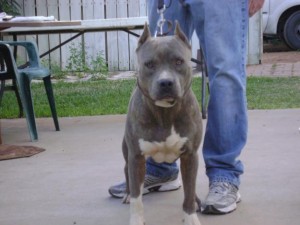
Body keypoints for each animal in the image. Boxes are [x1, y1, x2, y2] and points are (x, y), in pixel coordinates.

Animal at [122, 23, 204, 225]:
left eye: (179, 61)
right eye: (149, 64)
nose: (166, 82)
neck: (165, 112)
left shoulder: (190, 156)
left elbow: (189, 191)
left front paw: (190, 217)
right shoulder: (136, 157)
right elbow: (137, 198)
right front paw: (136, 219)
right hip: (127, 151)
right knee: (126, 170)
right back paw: (126, 193)